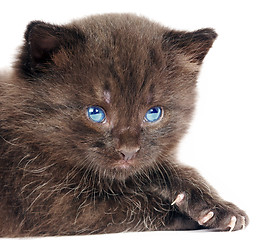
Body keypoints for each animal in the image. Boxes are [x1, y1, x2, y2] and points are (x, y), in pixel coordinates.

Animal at [0, 13, 248, 236]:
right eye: (95, 113)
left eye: (153, 113)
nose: (128, 152)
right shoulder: (51, 203)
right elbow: (132, 202)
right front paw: (186, 215)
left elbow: (160, 169)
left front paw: (217, 207)